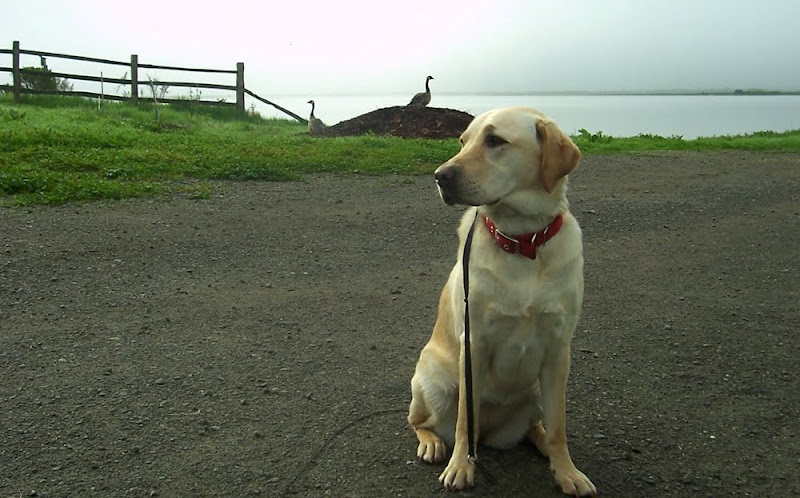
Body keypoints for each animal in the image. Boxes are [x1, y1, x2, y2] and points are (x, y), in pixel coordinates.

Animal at [410, 107, 596, 496]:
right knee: (421, 420)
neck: (524, 241)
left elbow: (559, 425)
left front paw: (567, 471)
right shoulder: (474, 344)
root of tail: (491, 432)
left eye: (495, 140)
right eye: (463, 141)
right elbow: (465, 421)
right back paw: (432, 443)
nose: (439, 176)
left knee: (536, 426)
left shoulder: (559, 349)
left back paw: (541, 444)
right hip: (433, 382)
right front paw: (460, 467)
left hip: (535, 391)